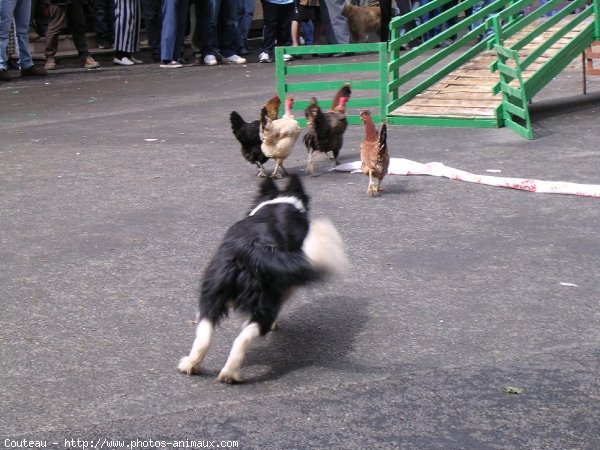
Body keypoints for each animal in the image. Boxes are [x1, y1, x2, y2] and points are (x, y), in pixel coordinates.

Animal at [178, 174, 346, 382]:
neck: (281, 202)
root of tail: (251, 251)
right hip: (266, 301)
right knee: (244, 337)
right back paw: (230, 374)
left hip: (213, 293)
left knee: (205, 333)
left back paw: (191, 365)